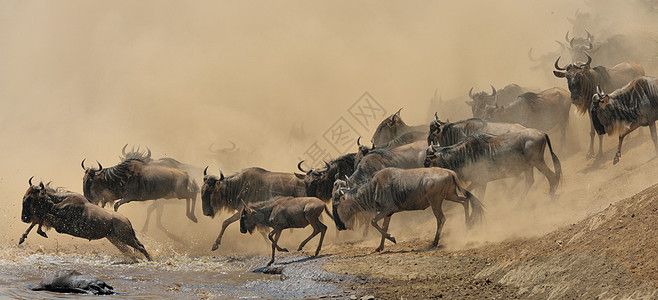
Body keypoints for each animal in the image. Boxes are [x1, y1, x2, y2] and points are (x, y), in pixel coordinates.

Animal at [20, 178, 151, 260]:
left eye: (30, 198)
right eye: (24, 196)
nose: (23, 218)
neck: (60, 202)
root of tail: (127, 221)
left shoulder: (61, 224)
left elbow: (41, 218)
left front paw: (40, 232)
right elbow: (38, 220)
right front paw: (22, 238)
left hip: (125, 237)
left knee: (140, 248)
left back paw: (150, 260)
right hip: (114, 238)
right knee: (130, 250)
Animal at [334, 168, 482, 252]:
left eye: (339, 203)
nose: (342, 226)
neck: (373, 187)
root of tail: (450, 172)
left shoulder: (389, 208)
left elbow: (373, 222)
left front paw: (392, 238)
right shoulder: (388, 213)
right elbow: (383, 226)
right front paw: (380, 247)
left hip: (436, 201)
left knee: (441, 218)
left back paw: (434, 242)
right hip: (450, 195)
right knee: (465, 200)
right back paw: (468, 225)